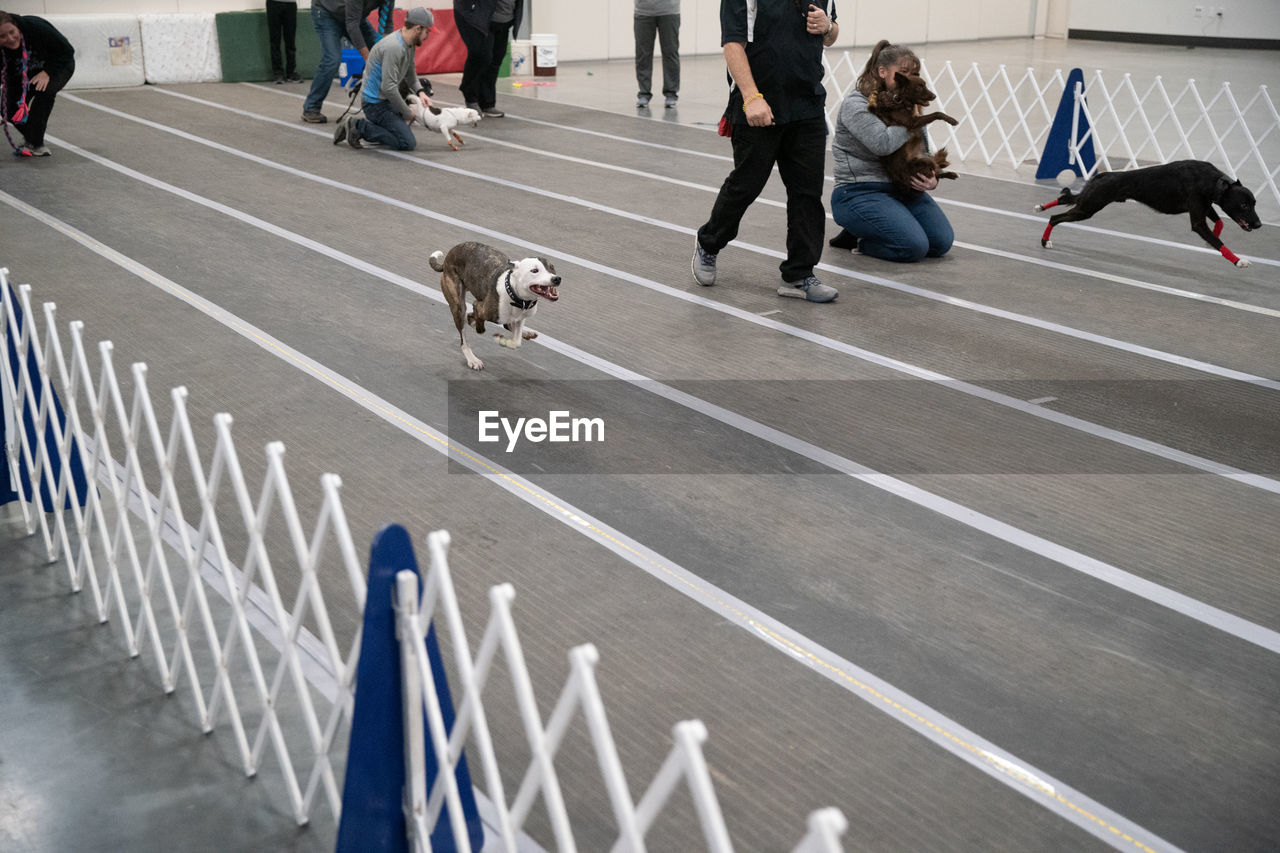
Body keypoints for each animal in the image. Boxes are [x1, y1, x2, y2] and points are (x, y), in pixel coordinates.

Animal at [430, 240, 560, 371]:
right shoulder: (479, 306)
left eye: (552, 267)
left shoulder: (520, 318)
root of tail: (449, 256)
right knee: (464, 339)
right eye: (534, 270)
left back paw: (526, 332)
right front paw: (495, 336)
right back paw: (472, 359)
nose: (557, 279)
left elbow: (516, 342)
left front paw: (504, 340)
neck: (516, 296)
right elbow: (480, 328)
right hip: (458, 306)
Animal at [1034, 159, 1264, 266]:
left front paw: (1210, 241)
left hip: (1087, 202)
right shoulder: (1198, 218)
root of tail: (1102, 176)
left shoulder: (1205, 207)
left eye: (1254, 203)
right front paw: (1238, 261)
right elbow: (1218, 240)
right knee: (1056, 217)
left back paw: (1043, 209)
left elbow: (1220, 224)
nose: (1258, 224)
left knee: (1064, 199)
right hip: (1088, 207)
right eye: (1244, 205)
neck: (1214, 180)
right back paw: (1044, 240)